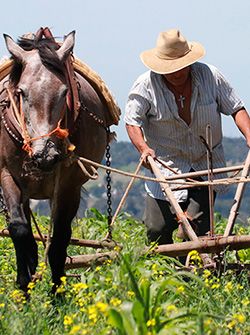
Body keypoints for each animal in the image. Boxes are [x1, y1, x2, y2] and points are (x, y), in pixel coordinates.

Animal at [0, 29, 116, 294]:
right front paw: (24, 286)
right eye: (21, 92)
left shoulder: (69, 186)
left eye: (65, 92)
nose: (46, 154)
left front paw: (58, 292)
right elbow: (19, 228)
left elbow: (60, 238)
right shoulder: (6, 175)